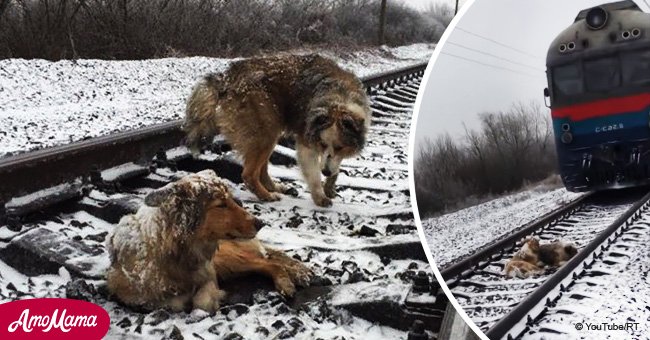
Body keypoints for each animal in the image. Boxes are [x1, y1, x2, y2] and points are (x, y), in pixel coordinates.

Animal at [104, 169, 312, 312]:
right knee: (269, 260)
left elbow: (201, 302)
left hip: (227, 258)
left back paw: (287, 282)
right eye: (221, 205)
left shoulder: (209, 272)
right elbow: (171, 302)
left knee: (270, 262)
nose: (261, 223)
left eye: (231, 200)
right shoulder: (130, 293)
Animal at [182, 54, 370, 206]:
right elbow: (314, 174)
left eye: (340, 147)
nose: (325, 171)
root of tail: (226, 78)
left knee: (261, 170)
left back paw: (276, 188)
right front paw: (320, 196)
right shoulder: (306, 142)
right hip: (265, 131)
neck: (338, 98)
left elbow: (335, 165)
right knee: (249, 174)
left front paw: (330, 185)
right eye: (322, 144)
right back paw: (266, 195)